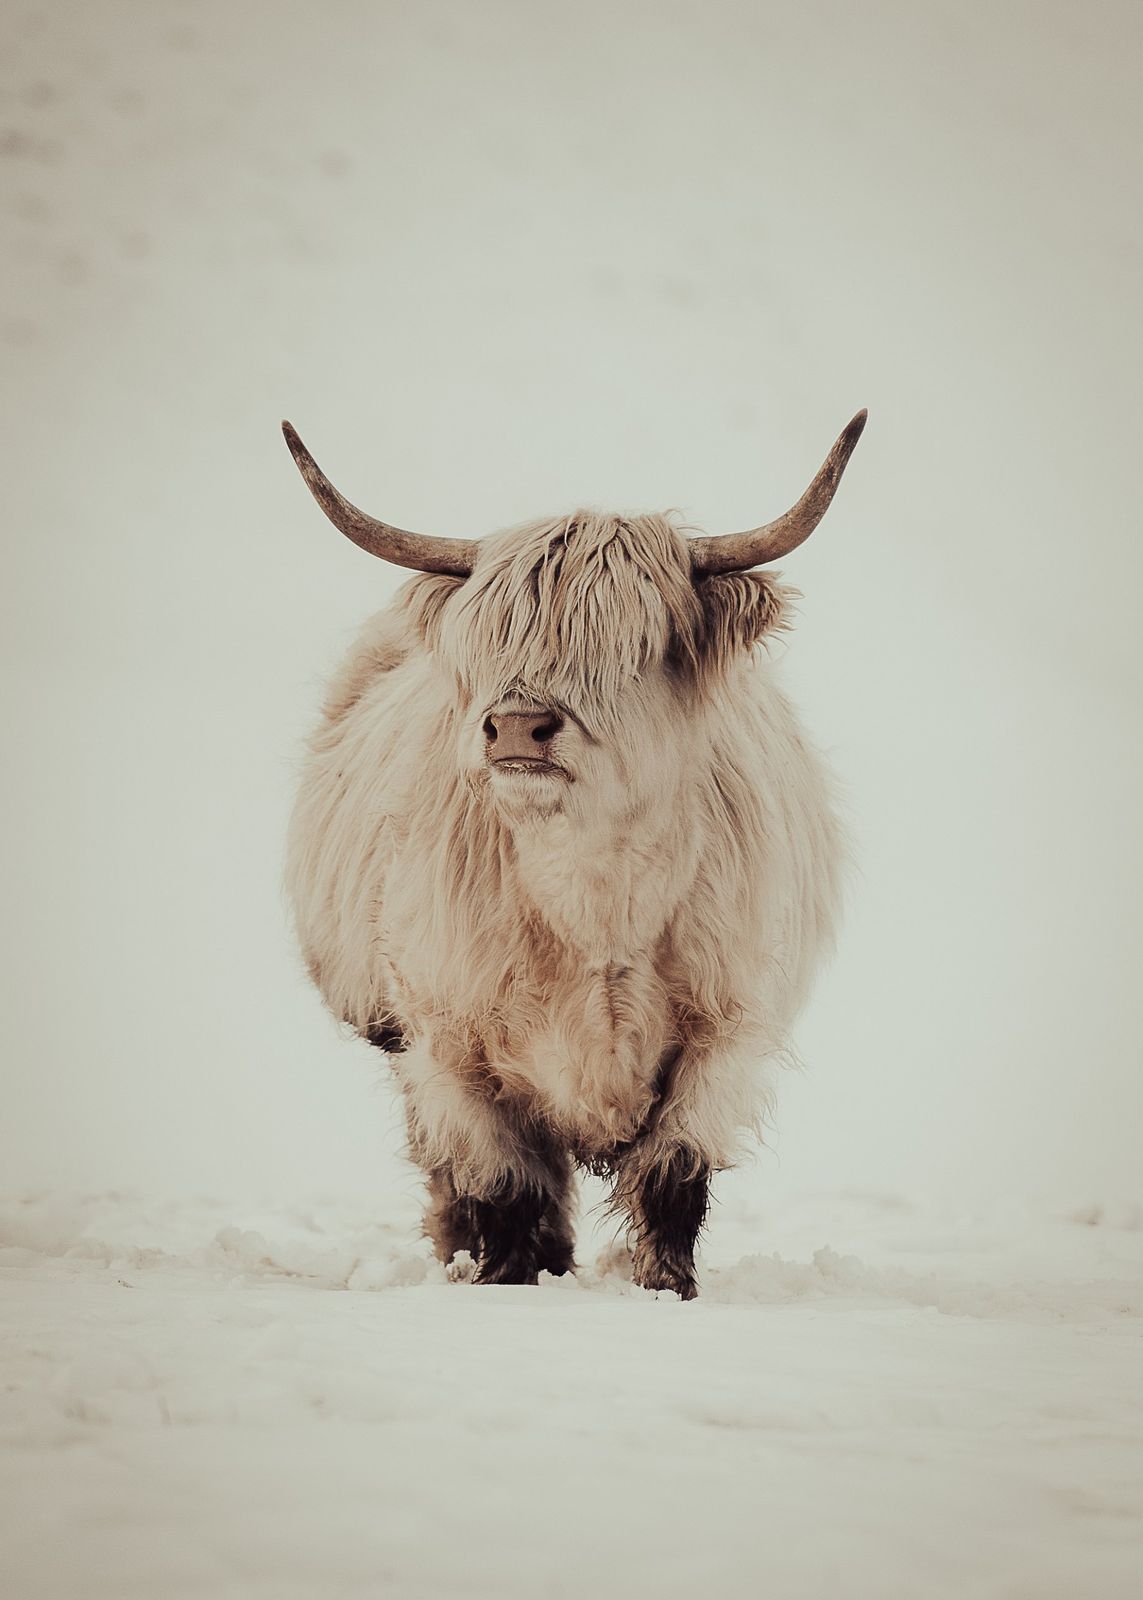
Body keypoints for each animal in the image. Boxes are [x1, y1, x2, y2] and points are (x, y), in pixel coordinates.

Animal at [283, 411, 865, 1298]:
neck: (597, 893)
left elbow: (672, 1177)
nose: (517, 726)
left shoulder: (723, 1035)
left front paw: (666, 1289)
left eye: (631, 644)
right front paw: (507, 1281)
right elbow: (505, 1183)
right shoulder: (451, 1045)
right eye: (491, 639)